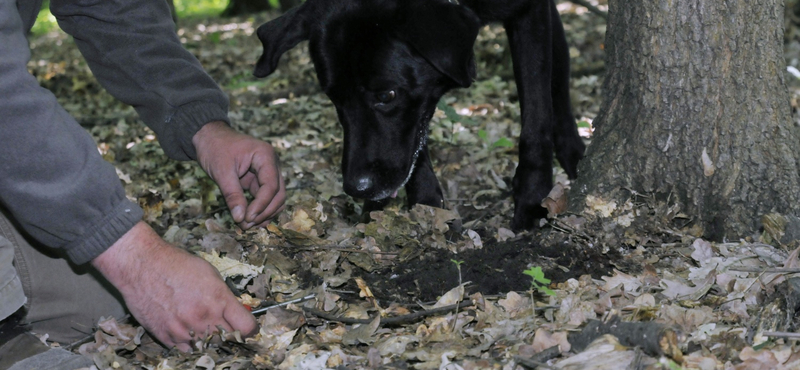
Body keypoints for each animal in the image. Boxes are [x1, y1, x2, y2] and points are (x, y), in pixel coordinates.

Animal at [253, 0, 584, 231]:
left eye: (387, 95)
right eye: (335, 98)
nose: (356, 188)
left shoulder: (530, 13)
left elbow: (537, 113)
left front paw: (532, 198)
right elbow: (416, 143)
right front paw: (426, 204)